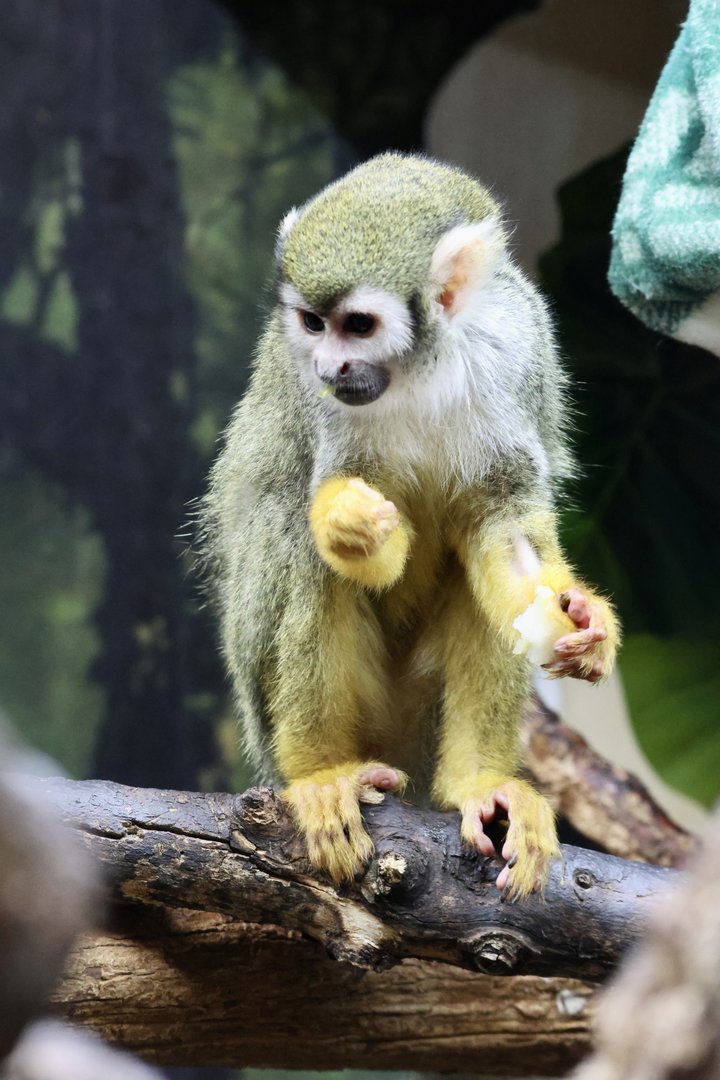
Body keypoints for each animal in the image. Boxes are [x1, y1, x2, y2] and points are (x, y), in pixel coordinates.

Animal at [200, 152, 620, 900]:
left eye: (359, 325)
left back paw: (478, 784)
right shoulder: (327, 407)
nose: (327, 366)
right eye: (313, 323)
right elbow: (353, 538)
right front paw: (350, 527)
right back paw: (320, 774)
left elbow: (501, 524)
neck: (424, 367)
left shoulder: (514, 347)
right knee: (295, 542)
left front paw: (585, 619)